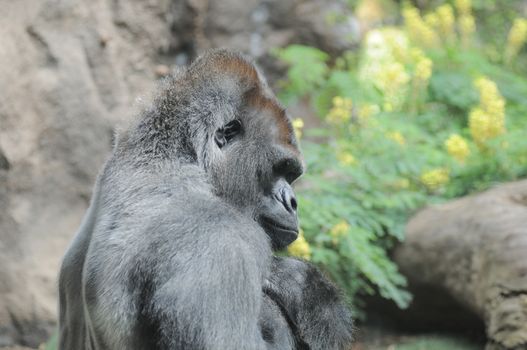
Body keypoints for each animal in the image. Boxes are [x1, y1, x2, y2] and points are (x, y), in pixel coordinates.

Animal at [58, 49, 354, 350]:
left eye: (291, 175)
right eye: (281, 168)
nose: (292, 203)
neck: (173, 158)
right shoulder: (217, 235)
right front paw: (310, 293)